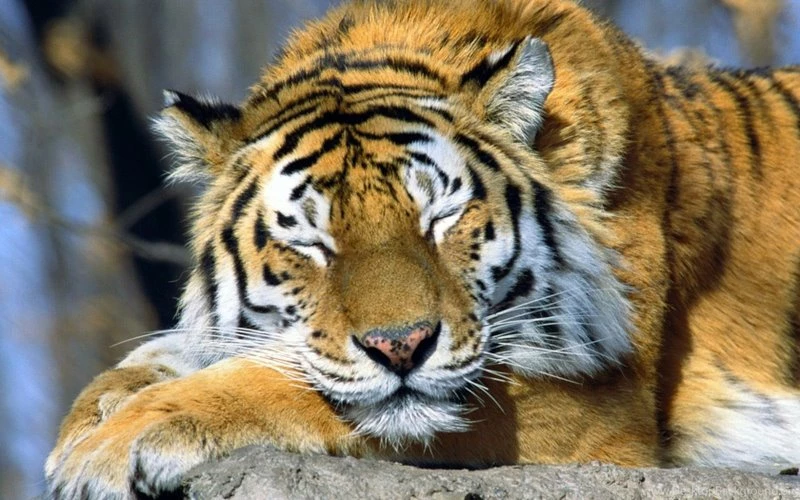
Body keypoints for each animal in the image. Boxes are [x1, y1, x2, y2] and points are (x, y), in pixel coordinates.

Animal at [45, 0, 800, 497]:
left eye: (440, 217)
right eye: (312, 240)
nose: (401, 346)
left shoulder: (595, 409)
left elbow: (286, 385)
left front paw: (110, 445)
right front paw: (95, 411)